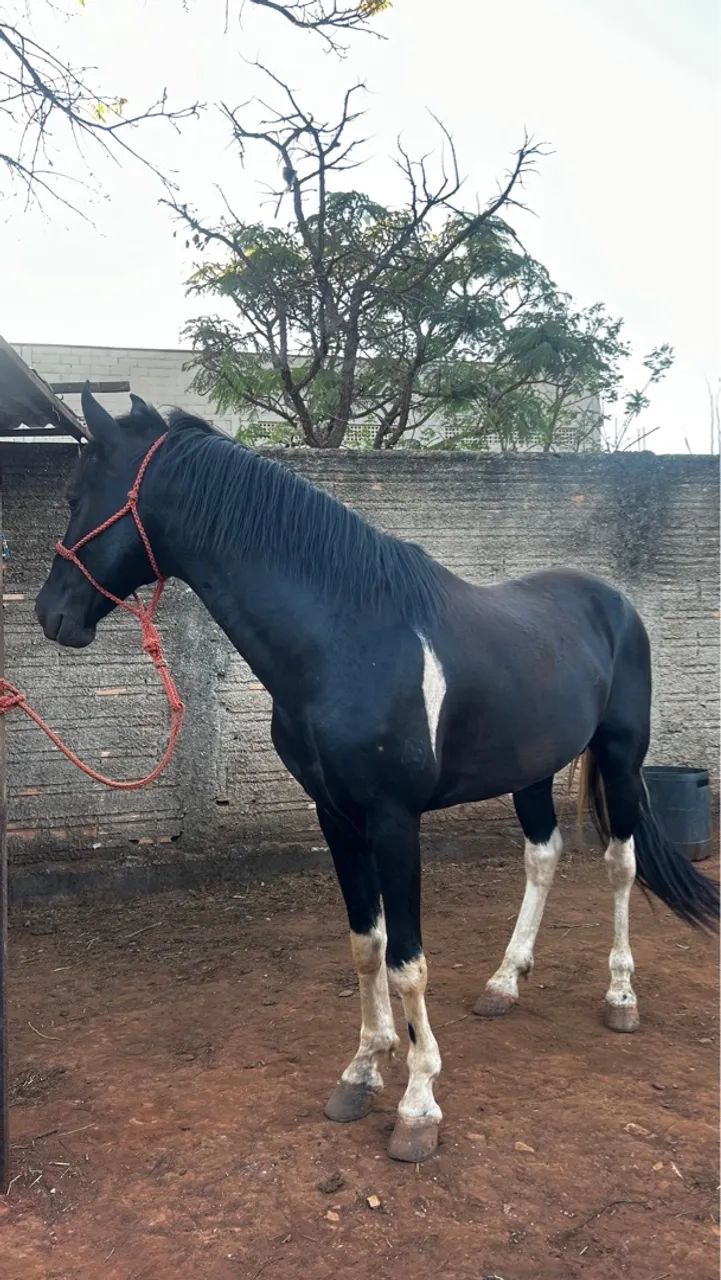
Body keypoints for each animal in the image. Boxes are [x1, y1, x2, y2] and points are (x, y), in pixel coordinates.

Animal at [35, 387, 719, 1163]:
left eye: (75, 496)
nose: (52, 614)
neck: (348, 640)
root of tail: (614, 602)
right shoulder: (335, 815)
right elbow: (368, 947)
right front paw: (362, 1071)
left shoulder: (394, 821)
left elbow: (408, 961)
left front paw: (418, 1105)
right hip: (531, 769)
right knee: (542, 855)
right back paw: (504, 982)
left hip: (621, 756)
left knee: (619, 864)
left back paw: (620, 997)